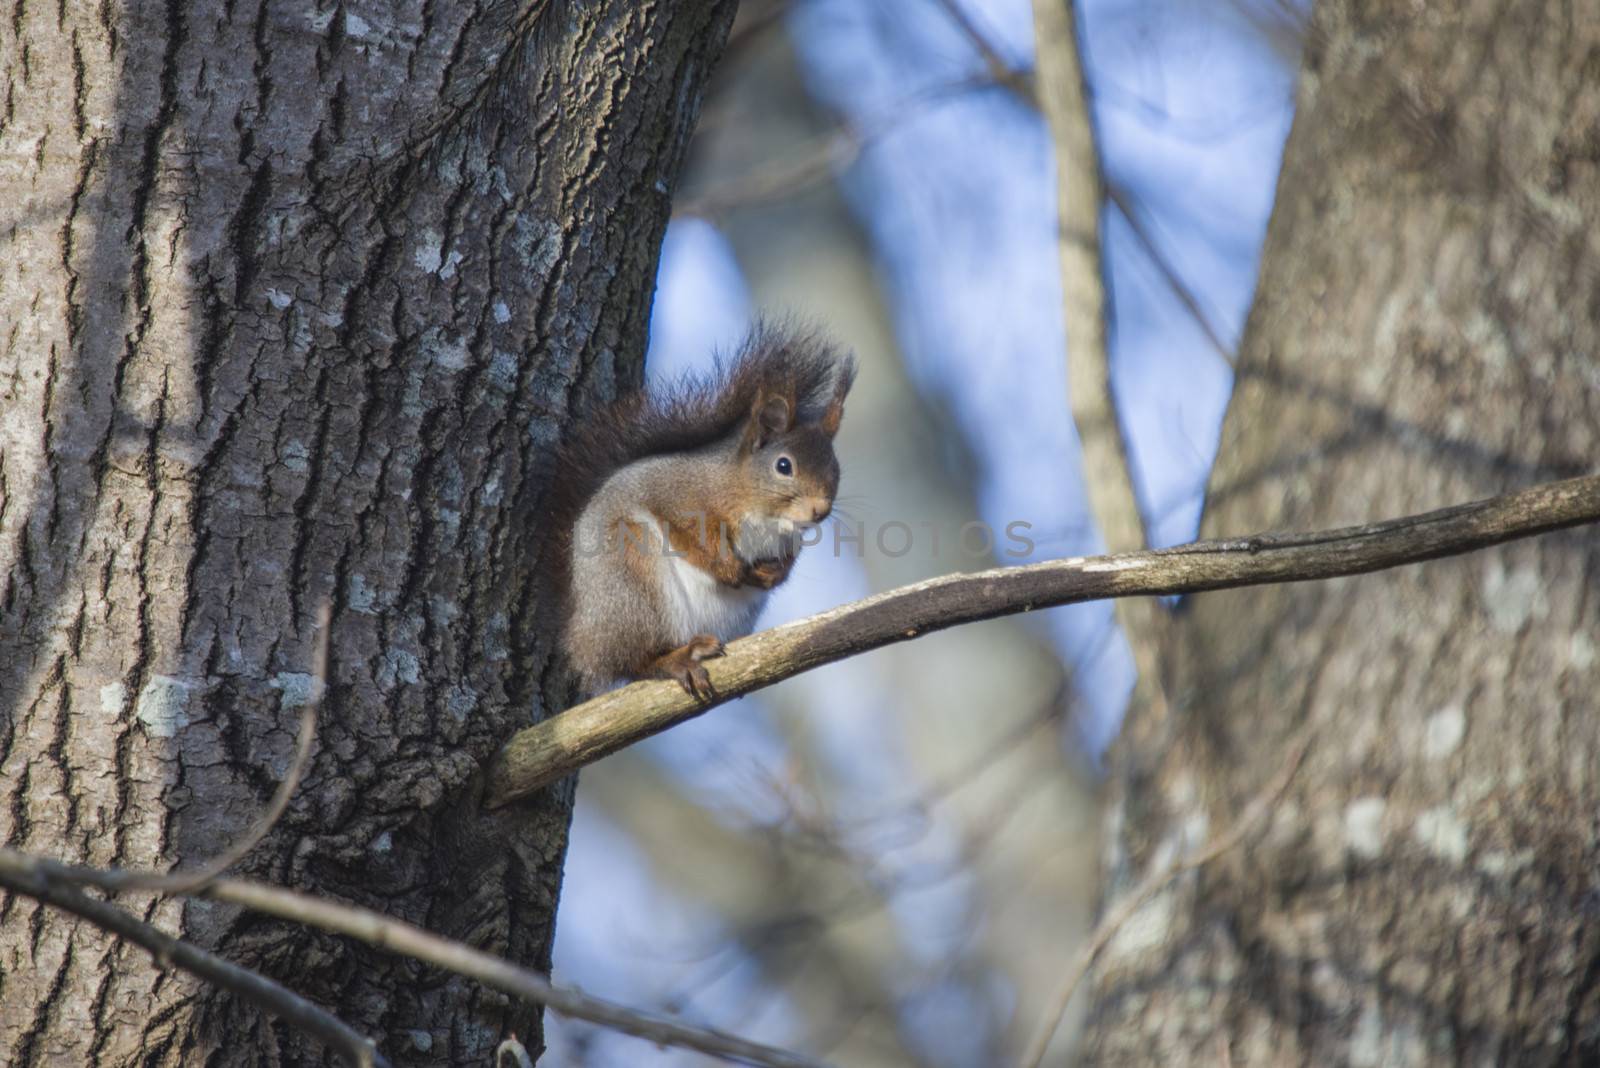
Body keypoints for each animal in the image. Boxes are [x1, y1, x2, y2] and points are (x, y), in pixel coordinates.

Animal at [547, 330, 857, 700]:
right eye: (784, 466)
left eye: (836, 469)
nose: (820, 510)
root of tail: (581, 638)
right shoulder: (677, 496)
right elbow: (688, 534)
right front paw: (728, 568)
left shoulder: (790, 538)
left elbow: (786, 564)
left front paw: (772, 574)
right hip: (631, 583)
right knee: (635, 662)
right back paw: (678, 659)